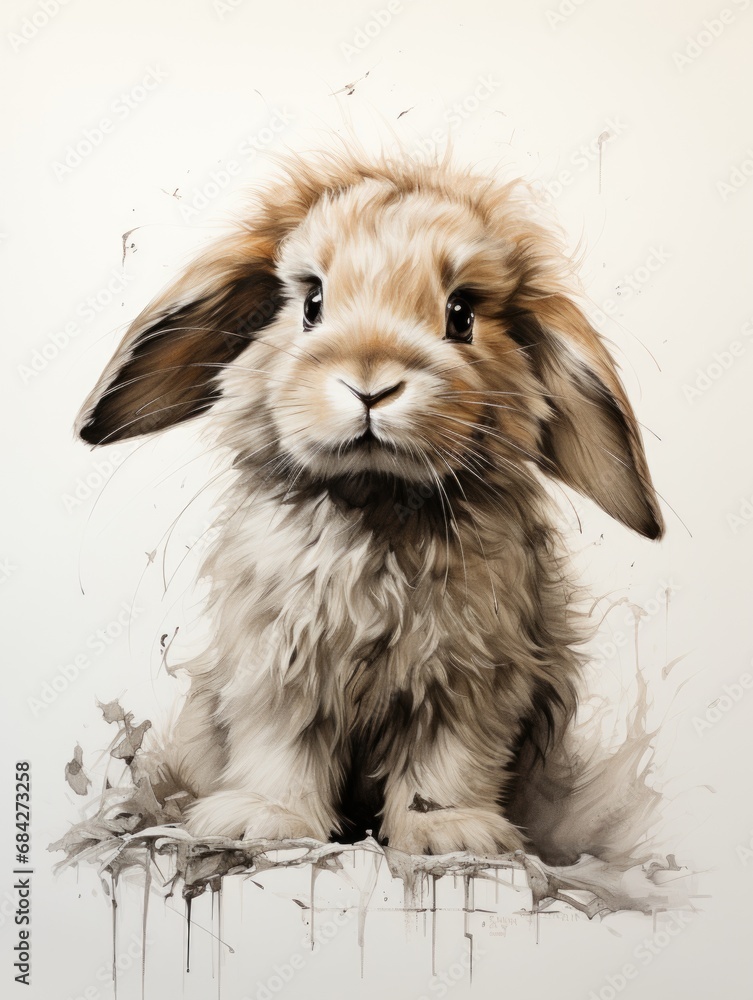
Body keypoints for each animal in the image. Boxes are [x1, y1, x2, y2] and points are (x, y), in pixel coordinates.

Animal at [76, 147, 664, 856]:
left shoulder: (469, 681)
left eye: (462, 314)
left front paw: (450, 832)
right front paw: (263, 820)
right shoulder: (280, 670)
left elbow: (447, 760)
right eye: (312, 302)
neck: (376, 503)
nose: (370, 385)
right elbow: (281, 747)